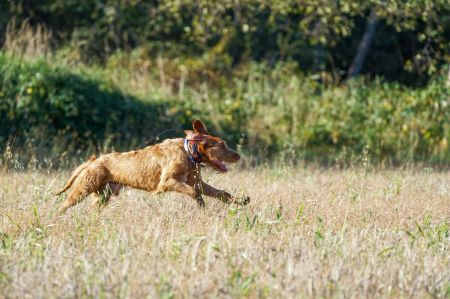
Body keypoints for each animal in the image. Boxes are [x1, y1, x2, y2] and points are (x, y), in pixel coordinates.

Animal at [56, 119, 250, 213]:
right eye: (222, 145)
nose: (239, 156)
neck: (188, 152)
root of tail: (94, 160)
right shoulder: (167, 182)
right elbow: (193, 193)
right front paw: (201, 205)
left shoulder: (197, 182)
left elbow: (221, 193)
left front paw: (239, 201)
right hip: (82, 190)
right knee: (63, 205)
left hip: (102, 196)